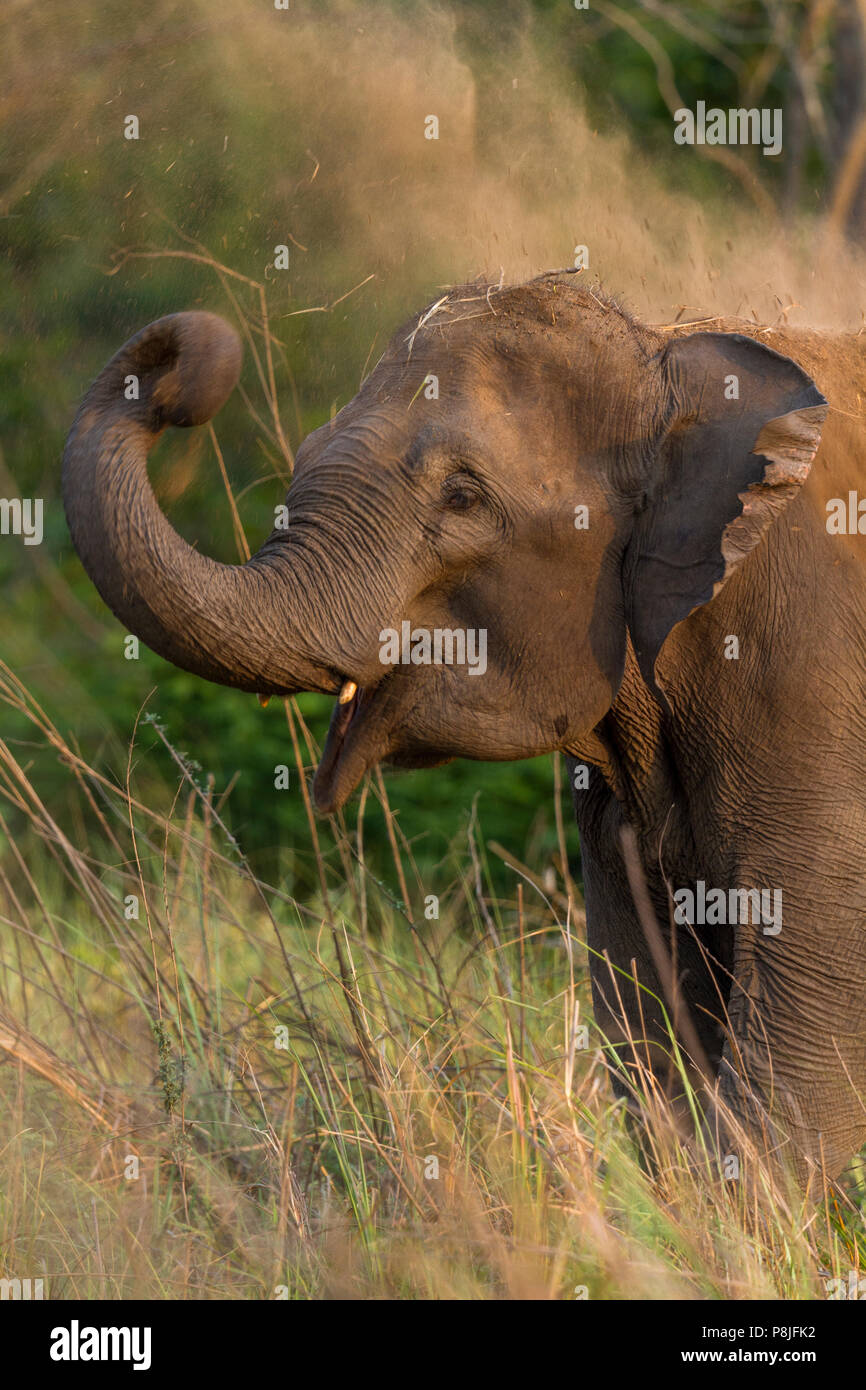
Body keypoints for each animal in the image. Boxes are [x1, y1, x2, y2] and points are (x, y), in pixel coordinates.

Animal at [64, 276, 866, 1189]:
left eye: (463, 497)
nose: (172, 385)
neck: (666, 360)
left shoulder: (806, 672)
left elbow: (807, 1045)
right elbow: (649, 1019)